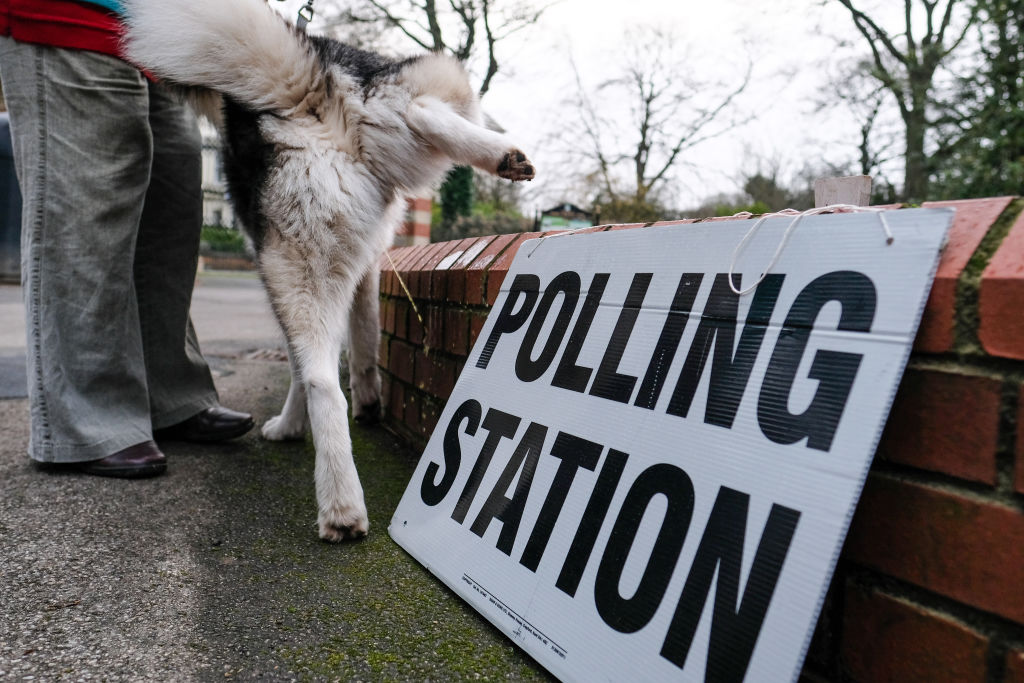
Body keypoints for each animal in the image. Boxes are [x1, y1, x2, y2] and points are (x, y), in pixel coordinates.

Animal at [120, 1, 536, 544]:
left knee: (318, 379)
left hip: (292, 269)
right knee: (420, 110)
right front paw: (369, 401)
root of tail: (311, 95)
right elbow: (364, 336)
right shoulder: (364, 265)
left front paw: (291, 426)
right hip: (412, 97)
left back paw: (339, 507)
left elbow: (305, 367)